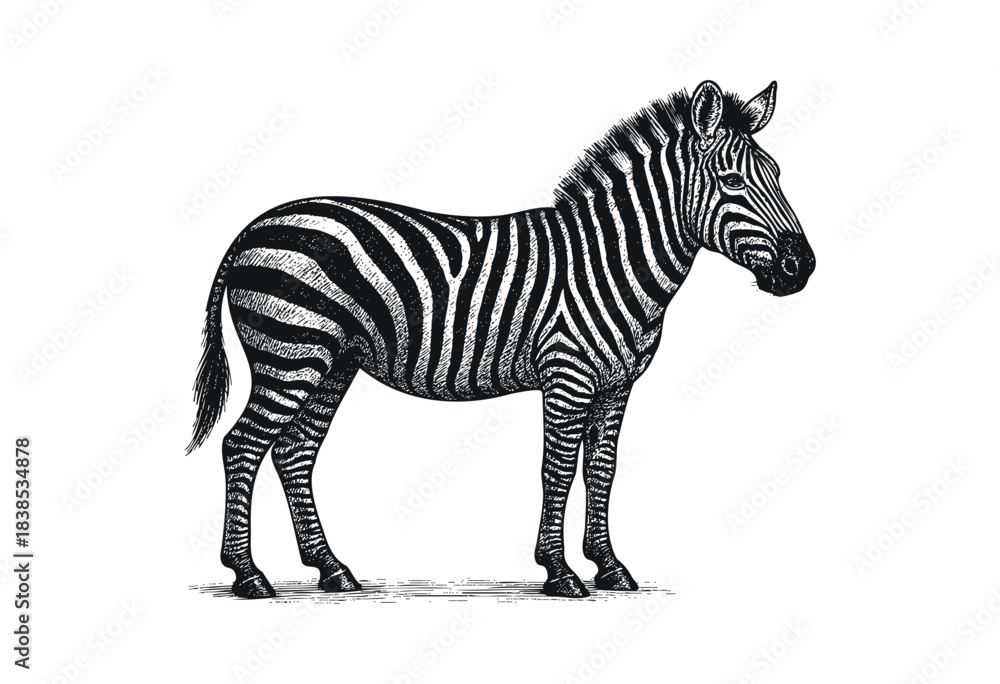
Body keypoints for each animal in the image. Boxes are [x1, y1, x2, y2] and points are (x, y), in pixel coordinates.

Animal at [187, 80, 815, 599]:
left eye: (780, 176)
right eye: (733, 181)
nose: (802, 267)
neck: (611, 261)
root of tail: (254, 226)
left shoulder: (616, 385)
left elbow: (603, 470)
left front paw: (609, 567)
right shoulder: (568, 375)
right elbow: (557, 469)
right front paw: (560, 573)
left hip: (332, 361)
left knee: (294, 452)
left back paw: (332, 570)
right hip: (290, 351)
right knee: (241, 446)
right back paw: (248, 576)